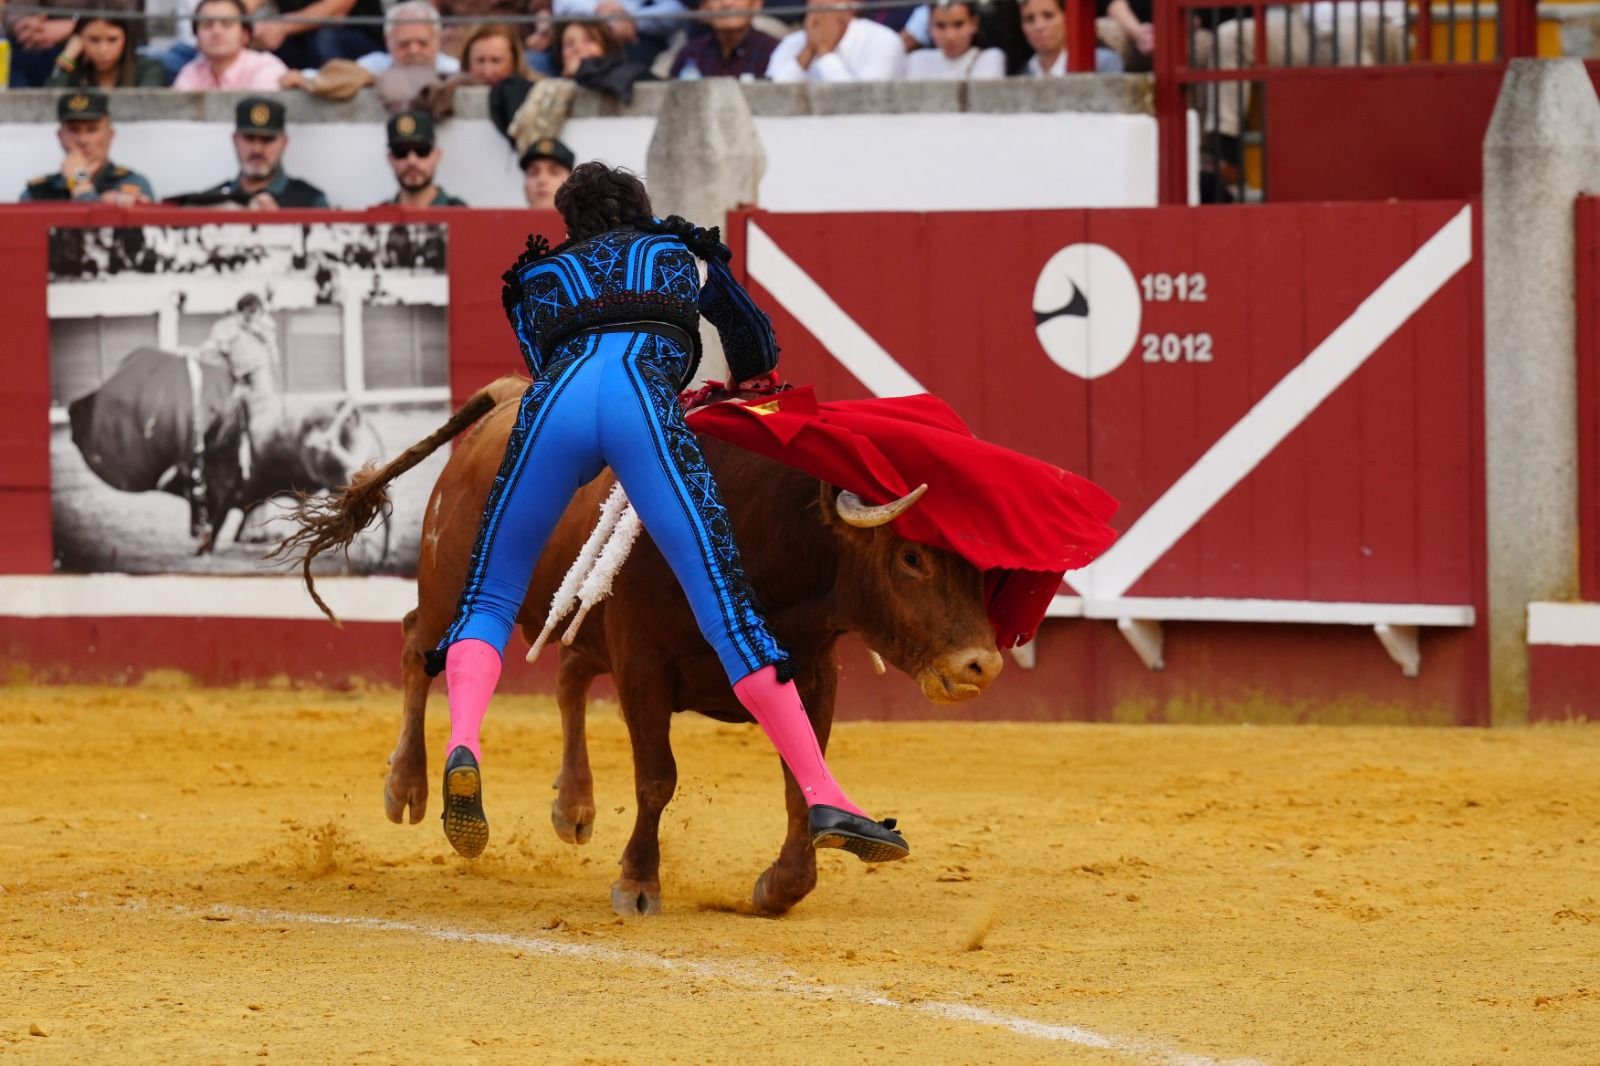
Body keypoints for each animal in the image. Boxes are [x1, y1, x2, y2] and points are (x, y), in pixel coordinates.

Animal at [276, 379, 998, 915]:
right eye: (910, 557)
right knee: (416, 646)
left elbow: (803, 777)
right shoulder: (643, 668)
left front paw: (782, 887)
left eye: (978, 568)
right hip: (449, 587)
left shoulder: (815, 670)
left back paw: (572, 804)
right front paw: (638, 882)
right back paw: (409, 786)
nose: (982, 663)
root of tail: (507, 394)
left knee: (566, 674)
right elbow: (657, 779)